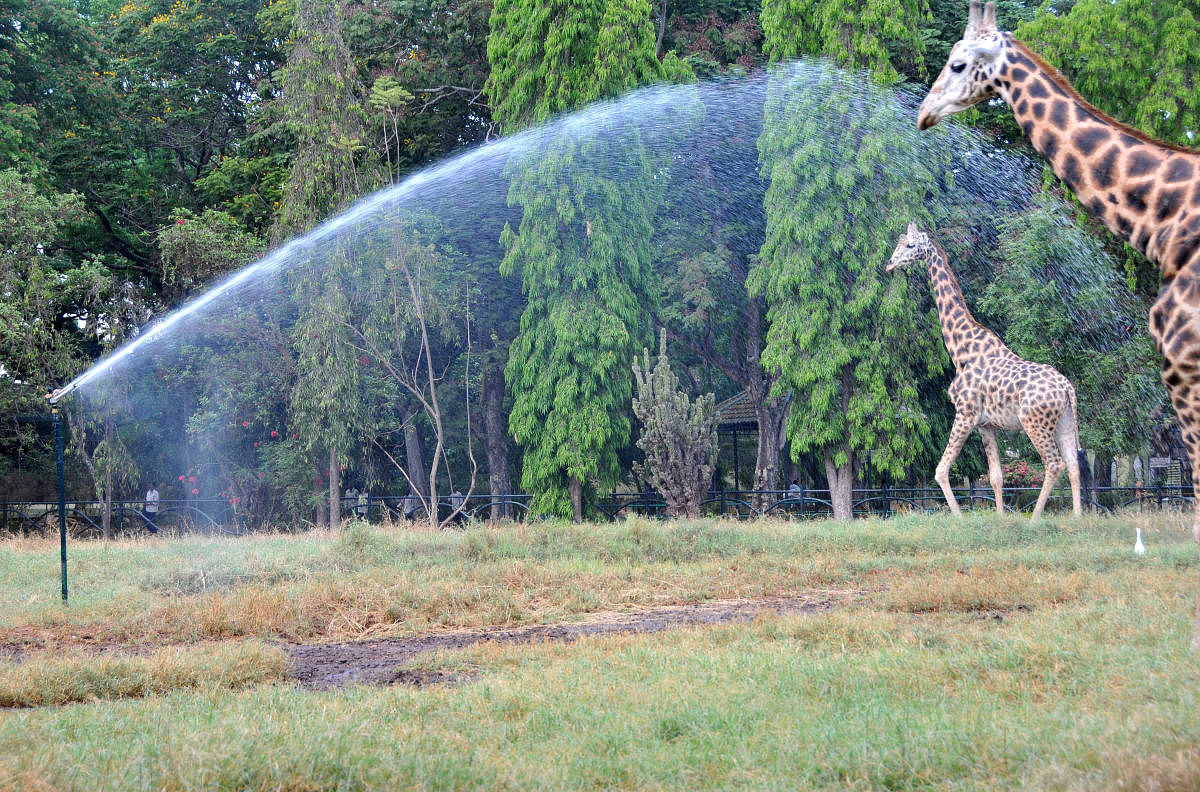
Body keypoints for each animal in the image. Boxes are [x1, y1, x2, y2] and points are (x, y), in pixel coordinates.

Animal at [888, 223, 1084, 520]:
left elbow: (941, 470)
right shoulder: (986, 424)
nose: (889, 264)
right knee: (1073, 466)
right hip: (1064, 421)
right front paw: (1000, 518)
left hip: (1034, 422)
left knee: (1054, 464)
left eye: (910, 245)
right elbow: (996, 477)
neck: (960, 350)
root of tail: (1067, 388)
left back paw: (1034, 520)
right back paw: (1078, 517)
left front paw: (959, 518)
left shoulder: (965, 413)